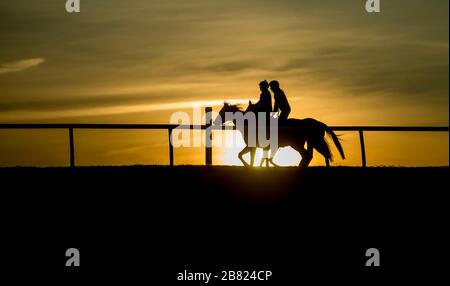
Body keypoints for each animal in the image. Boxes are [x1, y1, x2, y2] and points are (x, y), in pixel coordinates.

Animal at [214, 101, 344, 166]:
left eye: (221, 112)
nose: (215, 122)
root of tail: (318, 123)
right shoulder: (261, 147)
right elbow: (259, 159)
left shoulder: (253, 146)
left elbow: (246, 157)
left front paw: (248, 166)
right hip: (312, 142)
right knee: (319, 154)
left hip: (300, 143)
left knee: (310, 155)